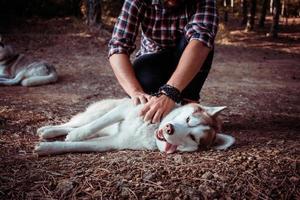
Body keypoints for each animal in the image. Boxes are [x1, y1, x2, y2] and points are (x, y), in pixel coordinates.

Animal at [34, 97, 234, 155]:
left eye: (192, 137)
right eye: (187, 119)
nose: (169, 129)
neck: (151, 130)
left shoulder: (113, 142)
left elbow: (80, 145)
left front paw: (47, 148)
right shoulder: (123, 110)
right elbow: (93, 126)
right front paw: (77, 135)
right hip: (99, 112)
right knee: (78, 123)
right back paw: (49, 130)